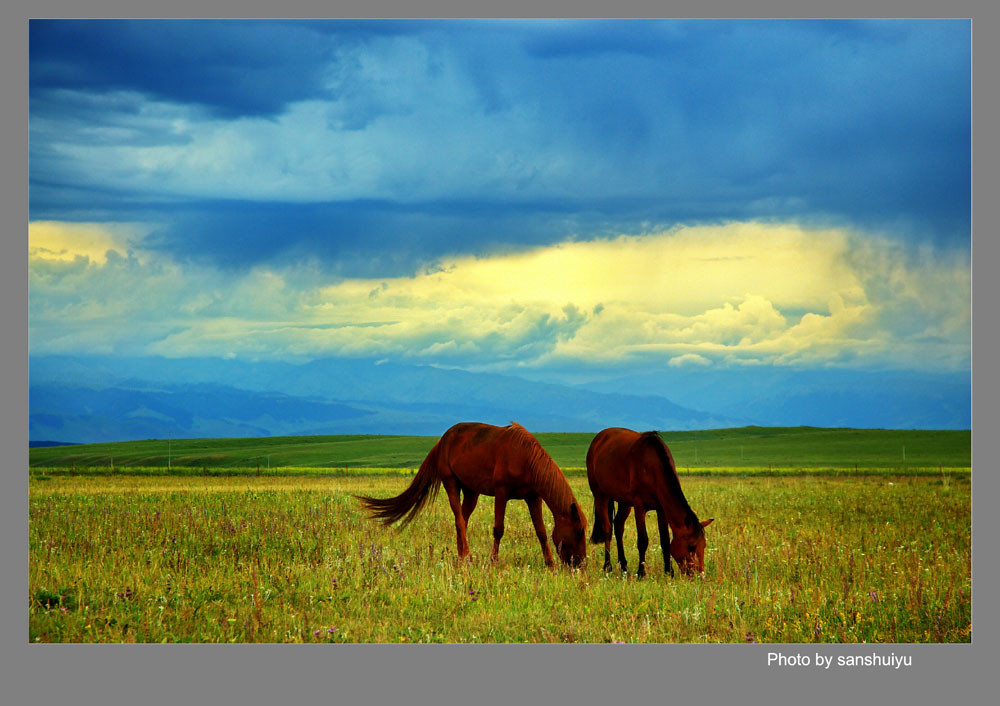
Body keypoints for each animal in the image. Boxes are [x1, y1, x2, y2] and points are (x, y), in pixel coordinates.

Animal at [358, 418, 584, 568]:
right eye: (579, 532)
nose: (580, 564)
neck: (526, 458)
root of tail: (442, 441)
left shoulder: (533, 497)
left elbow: (541, 531)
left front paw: (550, 563)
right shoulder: (501, 493)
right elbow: (498, 529)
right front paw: (493, 561)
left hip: (471, 492)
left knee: (463, 521)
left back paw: (461, 557)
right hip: (451, 483)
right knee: (459, 520)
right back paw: (467, 557)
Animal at [584, 426, 712, 576]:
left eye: (704, 545)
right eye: (691, 546)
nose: (700, 575)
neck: (653, 468)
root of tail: (598, 439)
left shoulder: (661, 508)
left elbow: (665, 539)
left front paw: (669, 571)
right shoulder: (640, 507)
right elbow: (643, 540)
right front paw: (641, 572)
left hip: (624, 502)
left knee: (619, 526)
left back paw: (623, 565)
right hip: (600, 495)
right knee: (607, 529)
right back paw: (607, 566)